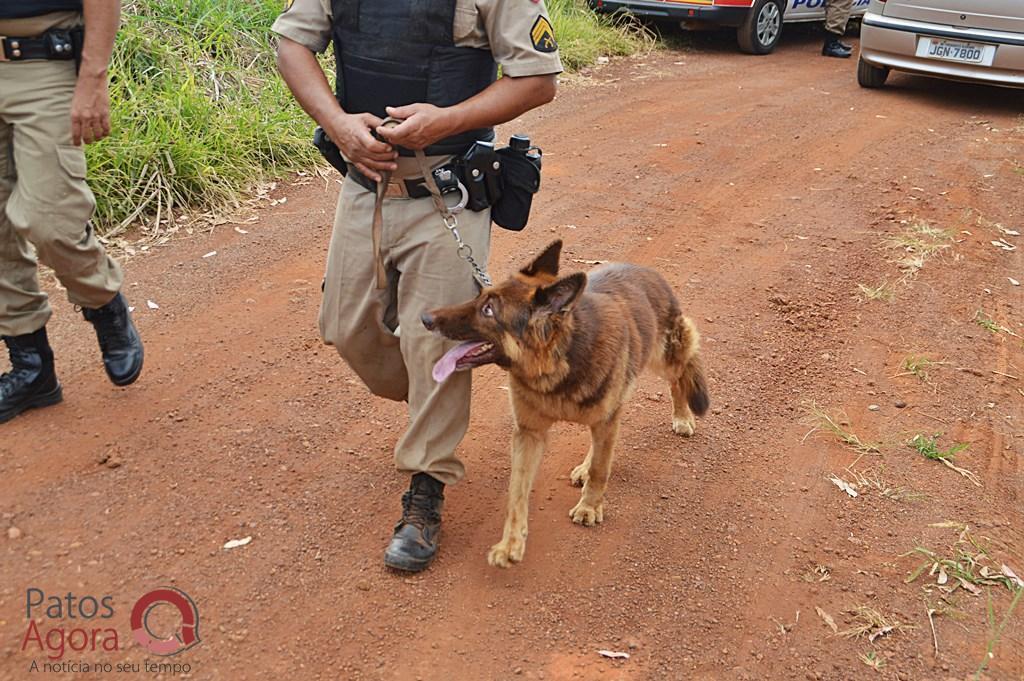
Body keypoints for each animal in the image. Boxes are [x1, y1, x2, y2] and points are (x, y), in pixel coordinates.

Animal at [419, 241, 708, 565]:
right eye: (479, 297)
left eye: (488, 310)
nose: (425, 318)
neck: (560, 358)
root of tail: (647, 271)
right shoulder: (529, 435)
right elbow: (517, 492)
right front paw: (511, 543)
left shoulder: (605, 419)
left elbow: (601, 470)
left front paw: (590, 507)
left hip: (664, 358)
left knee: (679, 376)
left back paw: (682, 415)